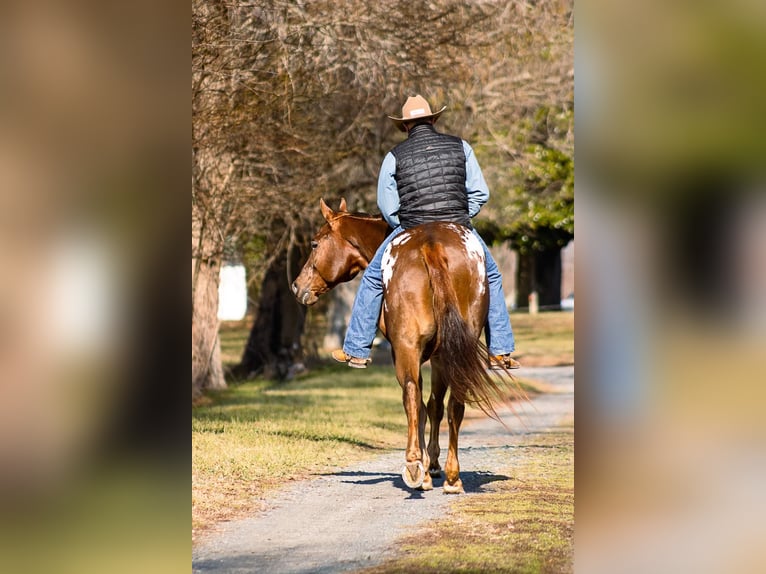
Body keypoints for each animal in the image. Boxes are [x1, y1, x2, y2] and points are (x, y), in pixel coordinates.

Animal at [292, 199, 516, 496]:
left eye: (315, 244)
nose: (297, 286)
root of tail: (431, 246)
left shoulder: (407, 352)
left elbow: (421, 404)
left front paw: (427, 466)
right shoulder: (441, 356)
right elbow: (436, 406)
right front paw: (435, 465)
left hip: (407, 349)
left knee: (412, 396)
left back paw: (414, 468)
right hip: (455, 348)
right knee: (455, 402)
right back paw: (452, 477)